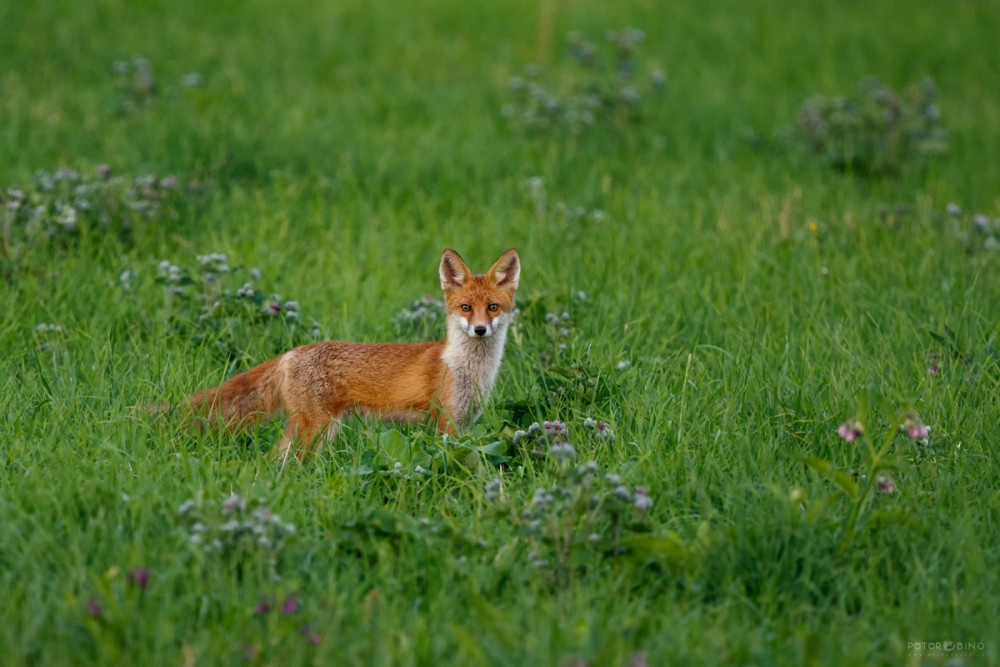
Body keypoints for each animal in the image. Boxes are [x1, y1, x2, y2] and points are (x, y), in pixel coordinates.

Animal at [182, 248, 524, 462]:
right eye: (466, 307)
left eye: (492, 307)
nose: (480, 329)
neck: (468, 370)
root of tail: (291, 353)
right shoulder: (447, 422)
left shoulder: (466, 423)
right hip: (317, 430)